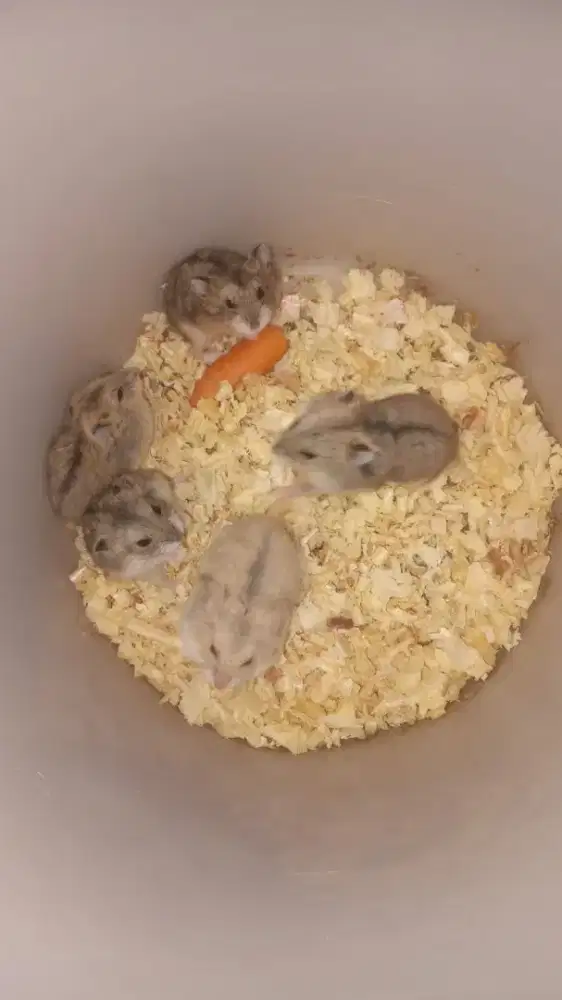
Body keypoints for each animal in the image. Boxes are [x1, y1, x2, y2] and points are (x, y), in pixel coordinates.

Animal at [272, 389, 459, 499]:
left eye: (308, 455)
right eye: (295, 423)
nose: (273, 449)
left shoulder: (324, 486)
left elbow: (299, 489)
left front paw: (274, 494)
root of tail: (455, 435)